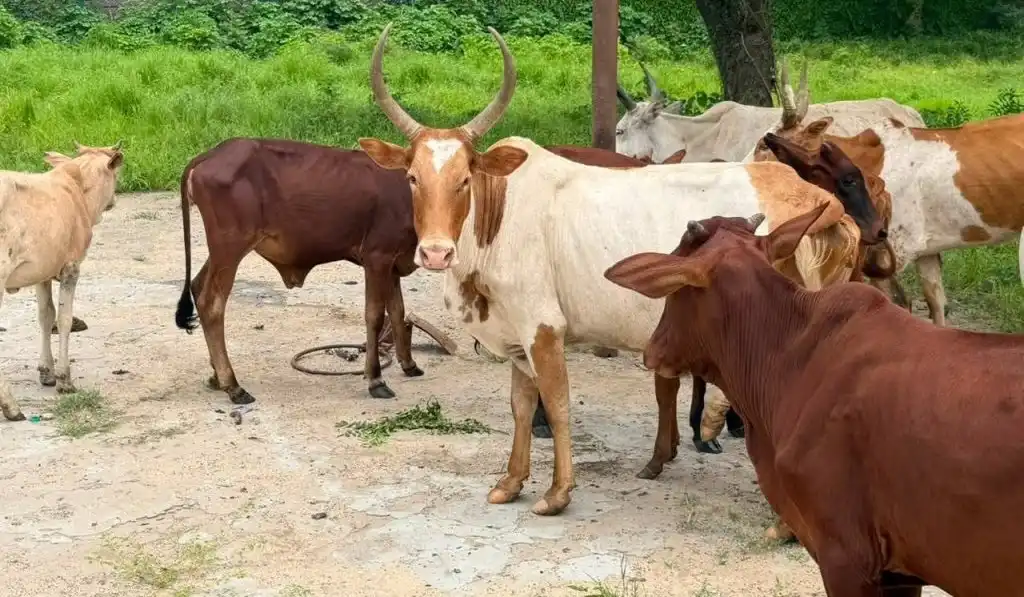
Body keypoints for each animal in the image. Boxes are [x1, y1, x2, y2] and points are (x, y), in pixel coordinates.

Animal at [0, 142, 125, 422]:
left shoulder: (42, 271)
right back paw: (11, 406)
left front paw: (46, 372)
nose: (114, 201)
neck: (77, 189)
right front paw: (64, 379)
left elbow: (46, 316)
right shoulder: (71, 268)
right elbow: (64, 319)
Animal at [357, 23, 866, 514]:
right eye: (412, 178)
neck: (499, 214)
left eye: (465, 179)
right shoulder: (516, 332)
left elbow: (557, 406)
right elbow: (521, 406)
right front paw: (511, 482)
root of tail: (816, 200)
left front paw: (558, 493)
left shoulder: (543, 327)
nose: (435, 253)